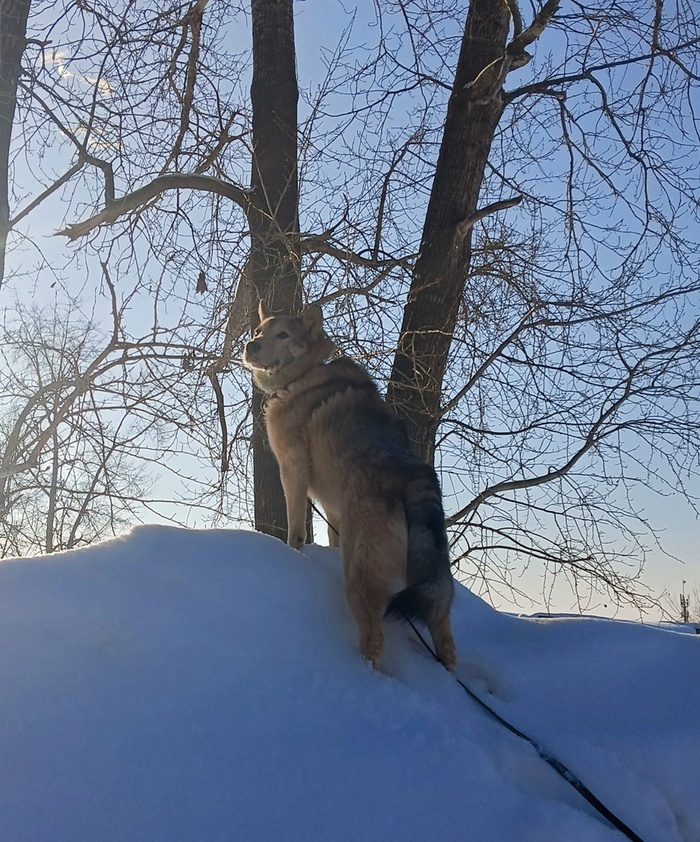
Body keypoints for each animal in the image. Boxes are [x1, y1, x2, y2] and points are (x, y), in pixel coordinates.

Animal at [243, 303, 456, 670]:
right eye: (259, 332)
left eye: (282, 334)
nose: (250, 346)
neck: (303, 377)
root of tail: (414, 476)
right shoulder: (333, 507)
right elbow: (330, 537)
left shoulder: (293, 469)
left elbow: (294, 527)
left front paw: (292, 550)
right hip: (426, 579)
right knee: (445, 635)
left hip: (361, 573)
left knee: (374, 637)